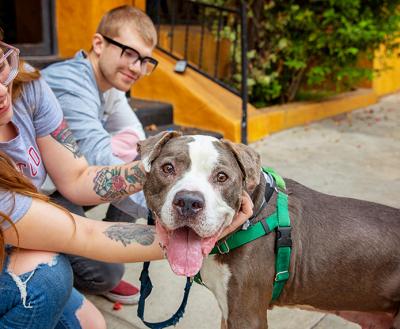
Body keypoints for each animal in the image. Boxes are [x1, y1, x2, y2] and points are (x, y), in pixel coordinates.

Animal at [138, 131, 400, 328]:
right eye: (168, 168)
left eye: (222, 176)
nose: (189, 202)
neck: (254, 215)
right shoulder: (228, 311)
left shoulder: (246, 315)